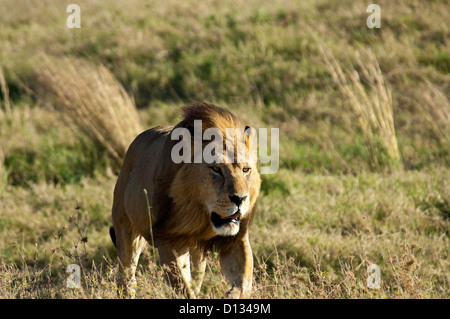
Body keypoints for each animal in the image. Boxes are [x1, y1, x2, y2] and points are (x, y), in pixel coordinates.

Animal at [110, 103, 262, 300]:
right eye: (215, 169)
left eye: (245, 170)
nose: (240, 199)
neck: (201, 215)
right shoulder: (168, 239)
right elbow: (182, 286)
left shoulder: (235, 238)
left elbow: (245, 280)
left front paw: (231, 295)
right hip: (126, 228)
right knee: (126, 275)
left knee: (196, 277)